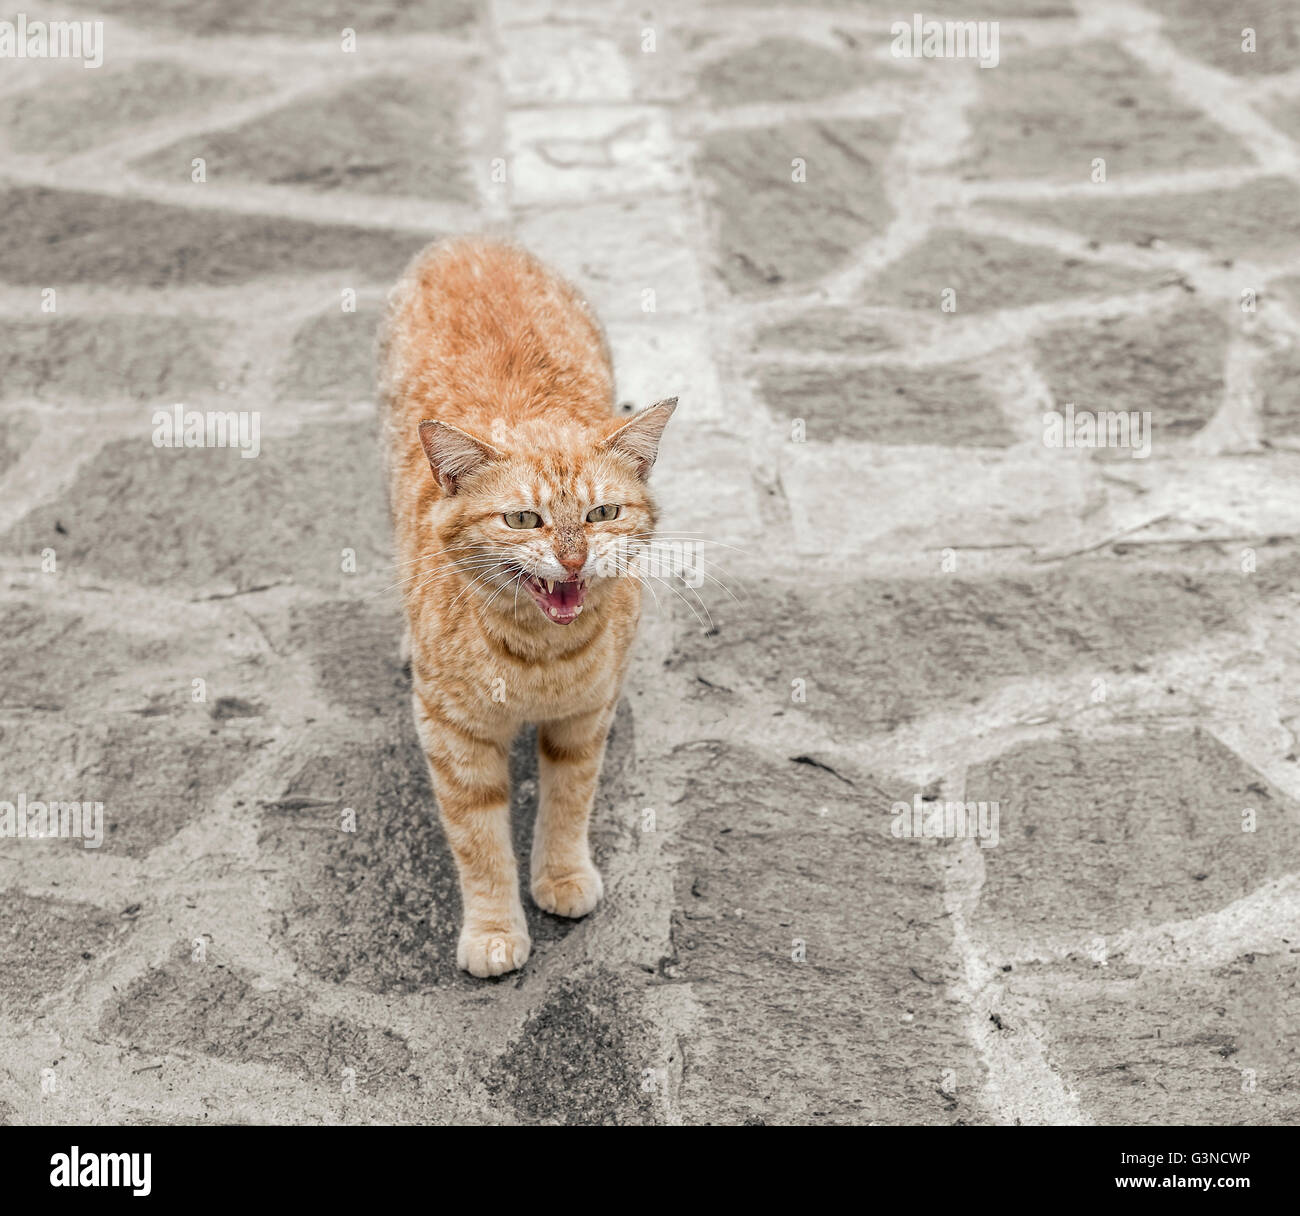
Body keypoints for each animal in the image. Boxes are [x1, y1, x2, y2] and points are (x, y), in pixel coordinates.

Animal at [377, 237, 676, 978]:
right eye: (523, 519)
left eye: (601, 514)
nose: (572, 559)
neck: (540, 655)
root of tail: (472, 238)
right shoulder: (453, 735)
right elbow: (478, 843)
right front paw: (493, 928)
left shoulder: (584, 718)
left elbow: (570, 801)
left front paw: (562, 875)